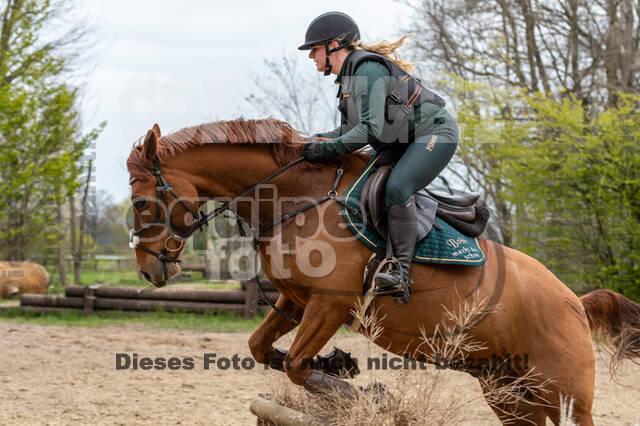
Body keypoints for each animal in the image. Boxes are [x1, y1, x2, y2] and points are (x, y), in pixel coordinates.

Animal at [126, 120, 640, 426]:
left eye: (140, 201)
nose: (150, 270)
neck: (294, 198)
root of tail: (574, 301)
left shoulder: (330, 304)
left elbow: (295, 365)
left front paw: (365, 396)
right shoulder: (295, 301)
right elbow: (263, 349)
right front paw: (340, 366)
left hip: (564, 391)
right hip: (508, 390)